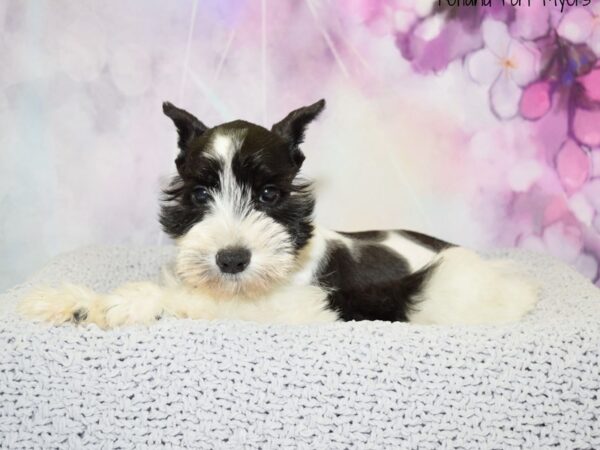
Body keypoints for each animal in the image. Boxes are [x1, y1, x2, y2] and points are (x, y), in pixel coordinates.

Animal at [19, 100, 540, 326]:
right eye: (200, 195)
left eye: (269, 194)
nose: (232, 260)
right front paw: (64, 301)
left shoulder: (292, 305)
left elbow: (198, 299)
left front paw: (123, 302)